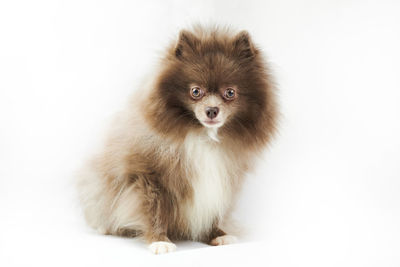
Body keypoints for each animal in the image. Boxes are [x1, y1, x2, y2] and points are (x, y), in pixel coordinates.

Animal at [78, 25, 278, 255]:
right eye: (196, 91)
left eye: (230, 93)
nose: (212, 110)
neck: (203, 135)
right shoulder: (147, 175)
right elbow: (154, 209)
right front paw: (159, 241)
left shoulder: (222, 175)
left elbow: (213, 208)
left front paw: (217, 234)